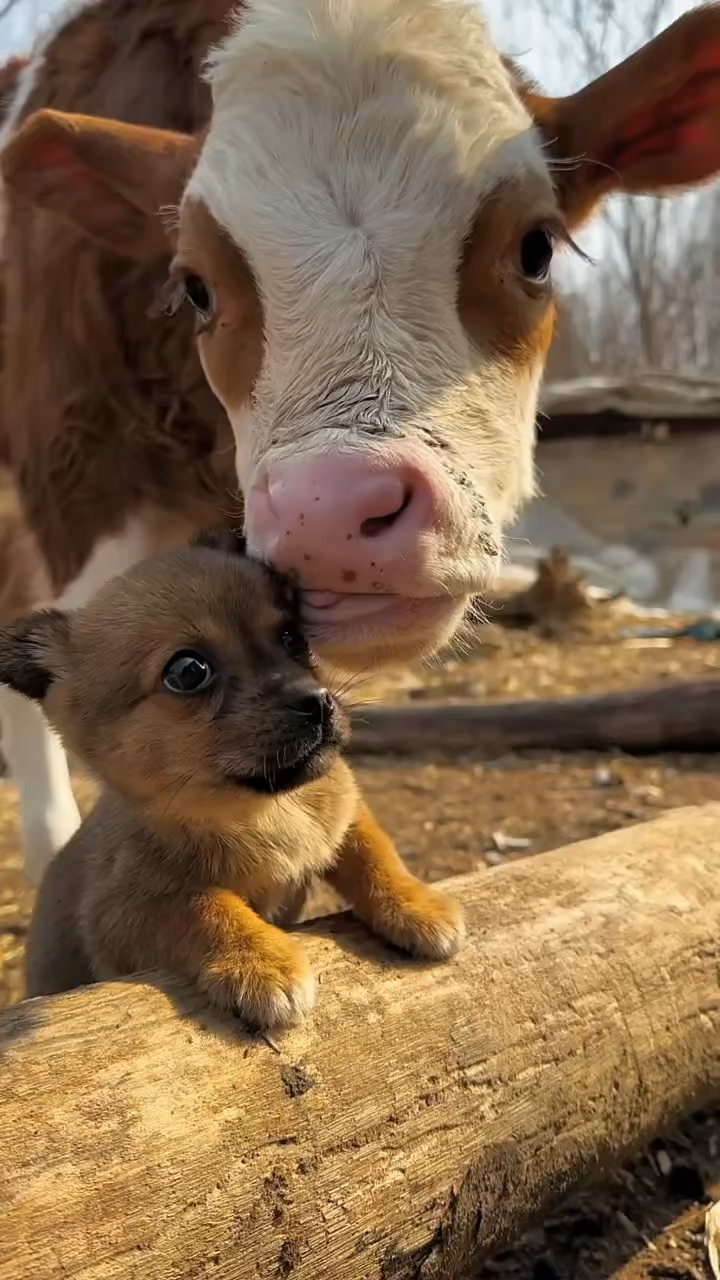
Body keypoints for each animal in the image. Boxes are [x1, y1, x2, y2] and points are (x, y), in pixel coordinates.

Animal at [0, 532, 458, 1029]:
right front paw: (262, 961)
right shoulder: (123, 912)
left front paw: (416, 904)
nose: (318, 703)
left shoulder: (345, 810)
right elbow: (204, 904)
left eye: (293, 638)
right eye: (188, 672)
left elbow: (375, 852)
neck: (268, 811)